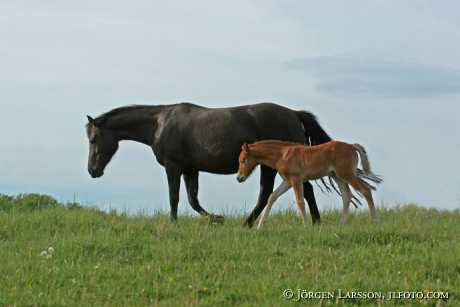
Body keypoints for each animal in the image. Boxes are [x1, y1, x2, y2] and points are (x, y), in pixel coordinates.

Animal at [85, 102, 330, 227]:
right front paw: (217, 219)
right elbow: (193, 200)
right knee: (283, 192)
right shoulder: (190, 170)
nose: (92, 171)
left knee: (283, 192)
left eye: (93, 139)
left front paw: (174, 223)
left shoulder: (173, 167)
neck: (159, 124)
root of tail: (295, 114)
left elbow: (174, 197)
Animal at [237, 140, 380, 229]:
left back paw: (374, 221)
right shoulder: (287, 181)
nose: (239, 178)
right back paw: (342, 224)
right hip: (338, 177)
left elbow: (300, 201)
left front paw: (305, 225)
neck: (282, 154)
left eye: (243, 160)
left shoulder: (296, 179)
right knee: (346, 196)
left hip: (347, 174)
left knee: (365, 190)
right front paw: (260, 226)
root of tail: (352, 146)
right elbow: (272, 197)